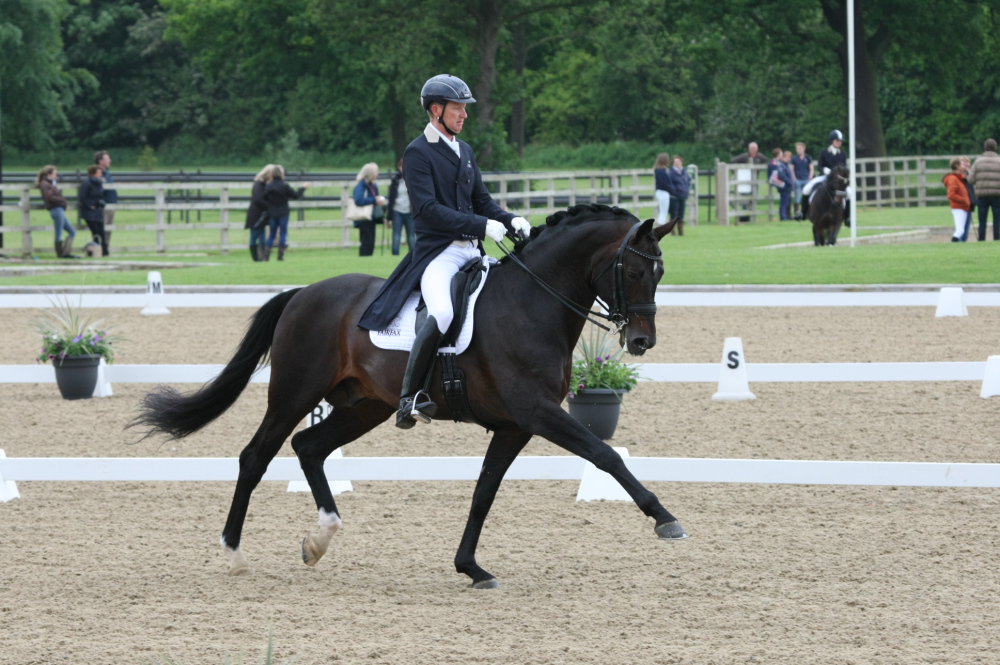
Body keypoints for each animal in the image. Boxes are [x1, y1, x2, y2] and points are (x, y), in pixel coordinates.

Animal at [133, 204, 688, 588]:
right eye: (634, 271)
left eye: (661, 272)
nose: (643, 342)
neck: (532, 302)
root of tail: (302, 293)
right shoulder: (538, 413)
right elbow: (605, 455)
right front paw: (666, 520)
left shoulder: (514, 426)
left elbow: (483, 493)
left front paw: (471, 567)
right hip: (294, 395)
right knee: (255, 457)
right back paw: (233, 553)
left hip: (366, 406)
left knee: (308, 448)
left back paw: (319, 540)